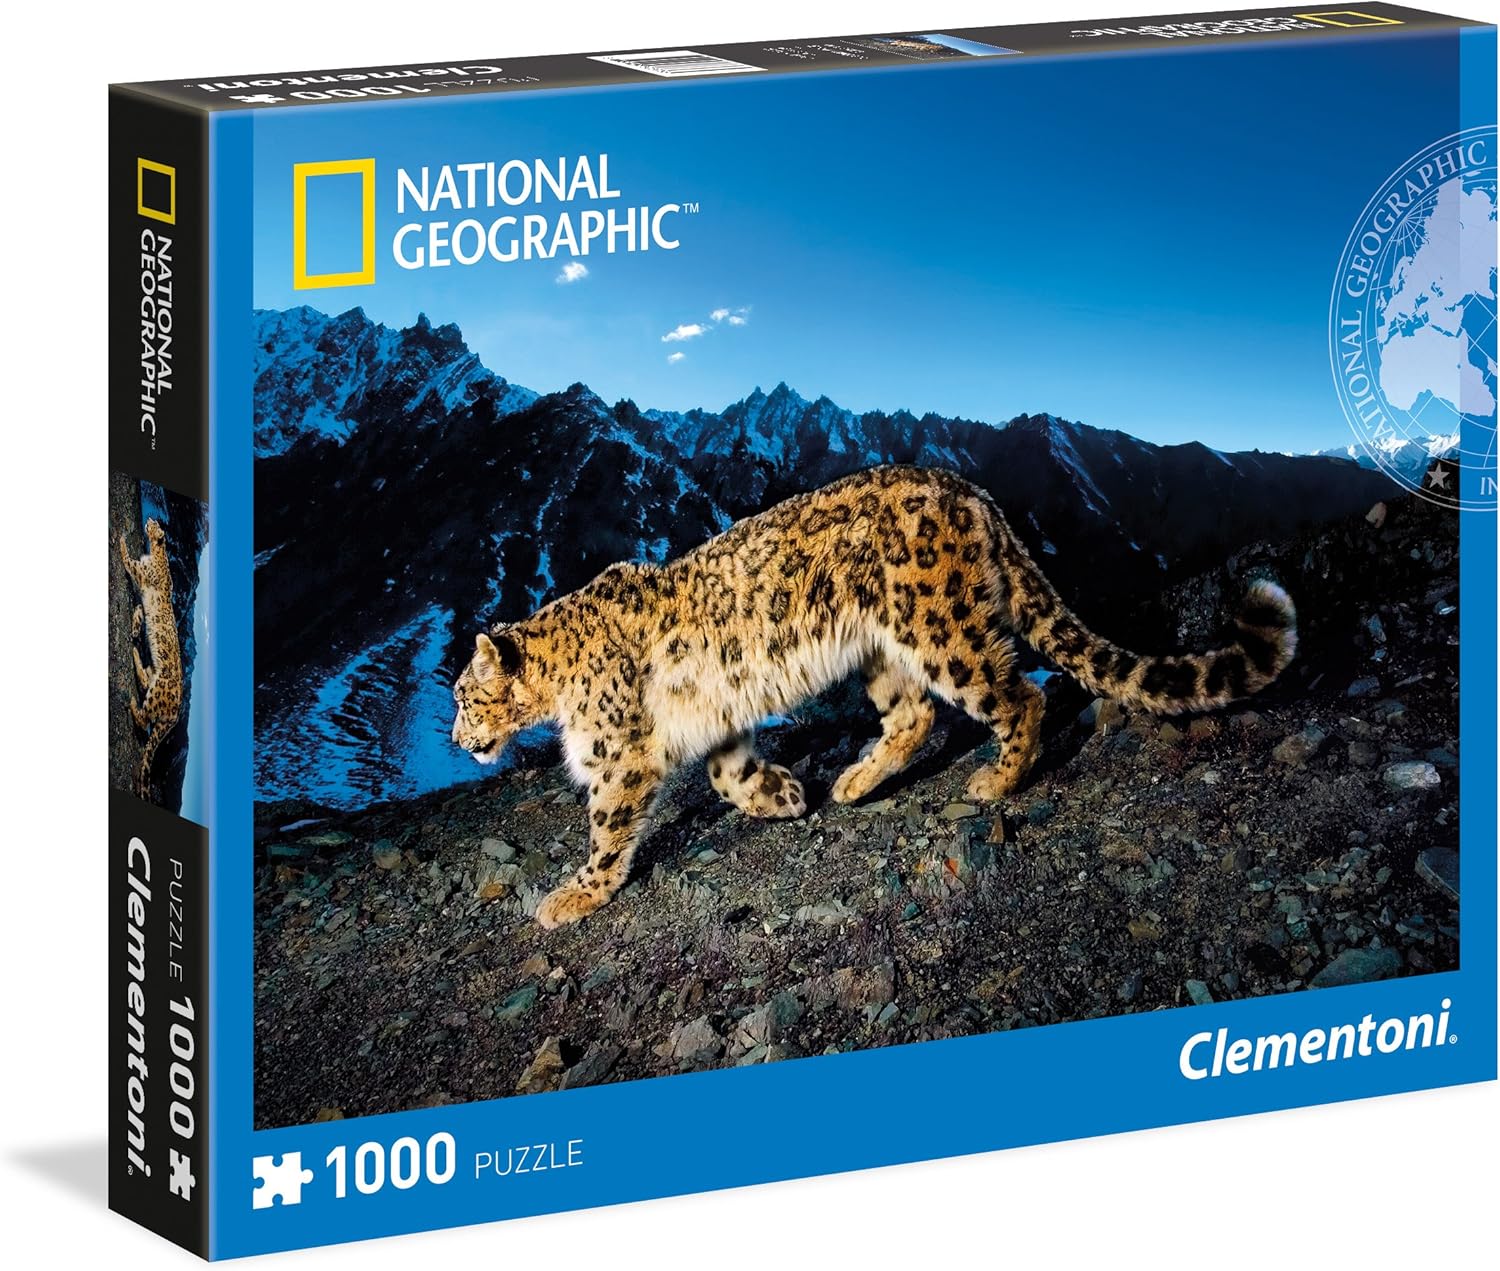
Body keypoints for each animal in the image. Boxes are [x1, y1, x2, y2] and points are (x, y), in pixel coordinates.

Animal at [451, 465, 1296, 929]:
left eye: (463, 696)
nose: (457, 740)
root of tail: (972, 491)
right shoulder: (717, 719)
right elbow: (727, 773)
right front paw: (784, 796)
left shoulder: (617, 755)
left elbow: (606, 830)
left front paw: (572, 897)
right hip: (883, 649)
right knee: (915, 712)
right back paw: (854, 781)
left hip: (939, 624)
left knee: (1014, 693)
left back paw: (996, 778)